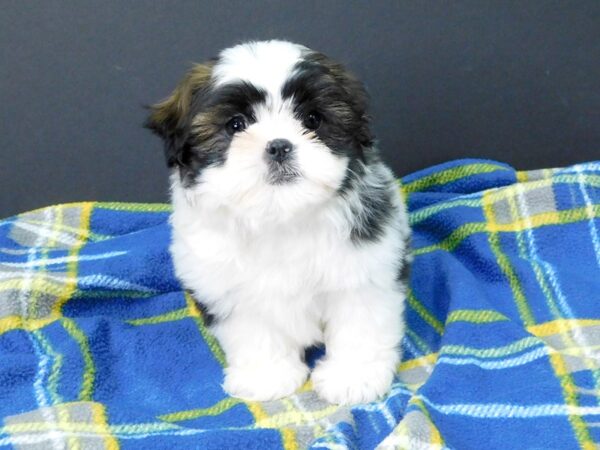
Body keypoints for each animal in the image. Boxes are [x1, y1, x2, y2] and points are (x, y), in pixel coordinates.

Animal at [146, 39, 412, 404]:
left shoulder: (364, 271)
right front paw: (267, 375)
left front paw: (353, 375)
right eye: (236, 125)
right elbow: (254, 331)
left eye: (312, 120)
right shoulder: (227, 287)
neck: (280, 218)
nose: (279, 146)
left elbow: (360, 322)